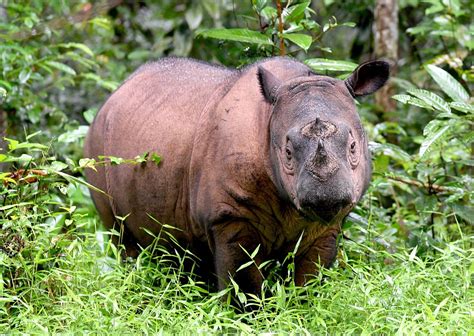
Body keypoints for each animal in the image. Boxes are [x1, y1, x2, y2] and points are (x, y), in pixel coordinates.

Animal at [85, 56, 388, 292]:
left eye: (353, 147)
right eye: (288, 153)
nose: (326, 196)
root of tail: (114, 94)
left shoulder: (327, 226)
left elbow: (310, 281)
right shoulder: (229, 217)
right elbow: (244, 284)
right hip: (96, 145)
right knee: (121, 237)